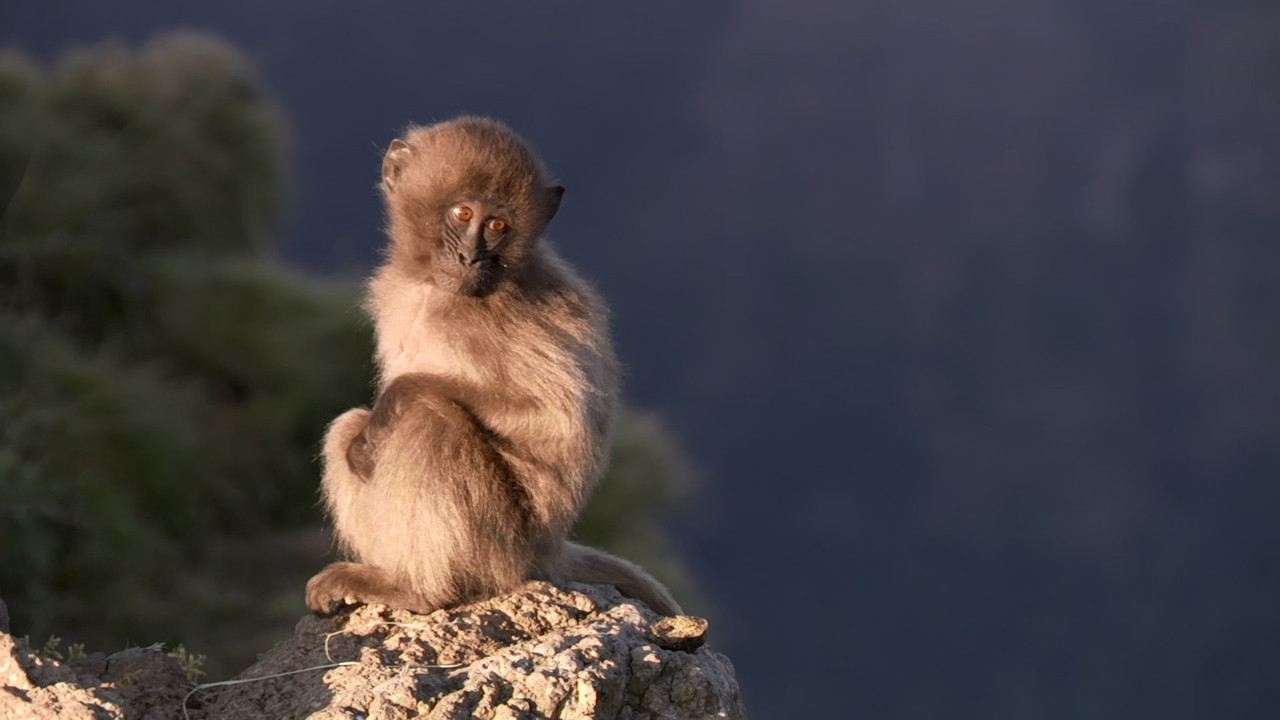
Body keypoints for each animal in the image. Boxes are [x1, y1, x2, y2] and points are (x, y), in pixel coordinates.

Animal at [305, 116, 682, 618]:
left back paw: (417, 591)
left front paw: (395, 400)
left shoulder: (498, 319)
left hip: (500, 546)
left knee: (427, 417)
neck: (435, 289)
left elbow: (558, 420)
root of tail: (546, 551)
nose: (470, 258)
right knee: (351, 425)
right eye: (463, 214)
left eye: (498, 225)